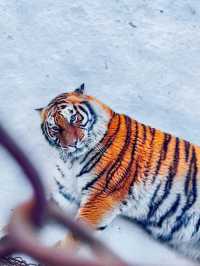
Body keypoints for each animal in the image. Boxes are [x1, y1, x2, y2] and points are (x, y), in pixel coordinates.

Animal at [37, 84, 200, 262]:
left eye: (73, 119)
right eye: (55, 128)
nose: (73, 143)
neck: (71, 159)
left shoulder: (102, 196)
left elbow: (76, 235)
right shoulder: (67, 191)